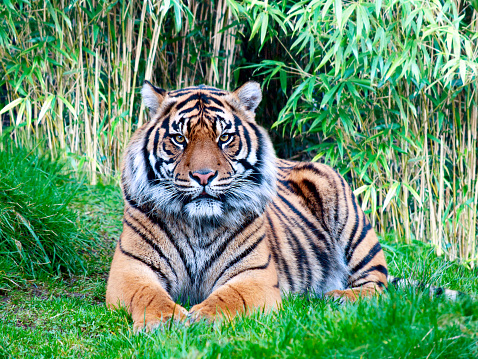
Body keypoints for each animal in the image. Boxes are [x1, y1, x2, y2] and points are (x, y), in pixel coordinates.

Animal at [104, 81, 388, 332]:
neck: (199, 224)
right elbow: (148, 295)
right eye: (179, 139)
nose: (204, 176)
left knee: (378, 285)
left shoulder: (254, 273)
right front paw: (165, 322)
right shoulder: (130, 269)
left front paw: (203, 318)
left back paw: (341, 296)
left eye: (225, 137)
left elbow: (229, 298)